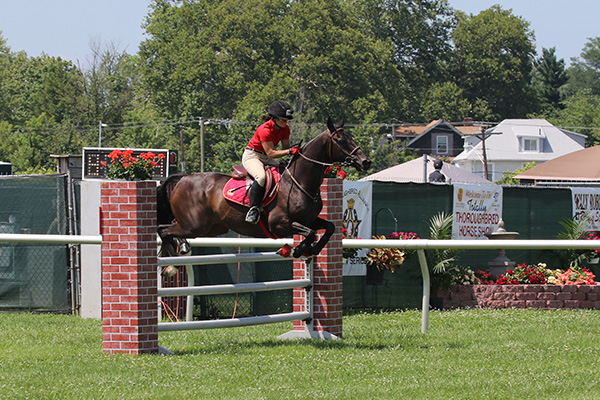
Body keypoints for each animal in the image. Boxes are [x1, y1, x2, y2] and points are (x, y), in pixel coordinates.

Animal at [156, 117, 370, 264]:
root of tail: (181, 178)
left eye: (351, 137)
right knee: (164, 230)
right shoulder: (280, 224)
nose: (365, 161)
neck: (300, 182)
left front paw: (310, 250)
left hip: (212, 227)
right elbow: (309, 233)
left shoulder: (308, 220)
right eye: (341, 140)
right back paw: (173, 261)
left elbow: (329, 228)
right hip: (194, 225)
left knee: (168, 229)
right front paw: (297, 250)